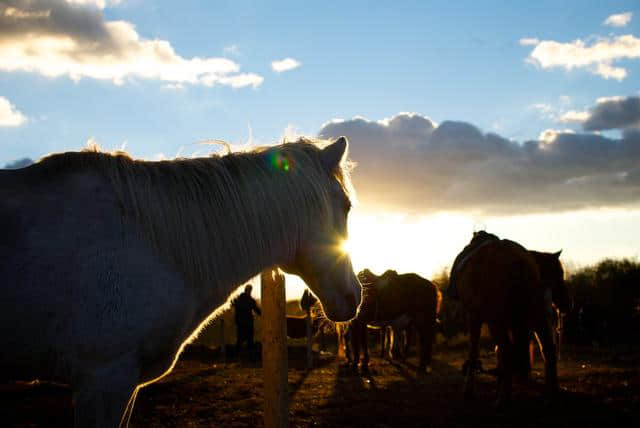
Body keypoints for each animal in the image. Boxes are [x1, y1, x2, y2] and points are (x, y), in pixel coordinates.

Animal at [452, 232, 568, 406]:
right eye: (559, 273)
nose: (567, 304)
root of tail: (516, 260)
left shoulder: (475, 318)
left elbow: (475, 351)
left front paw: (469, 390)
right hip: (535, 316)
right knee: (548, 349)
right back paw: (551, 394)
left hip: (498, 320)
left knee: (508, 350)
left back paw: (503, 399)